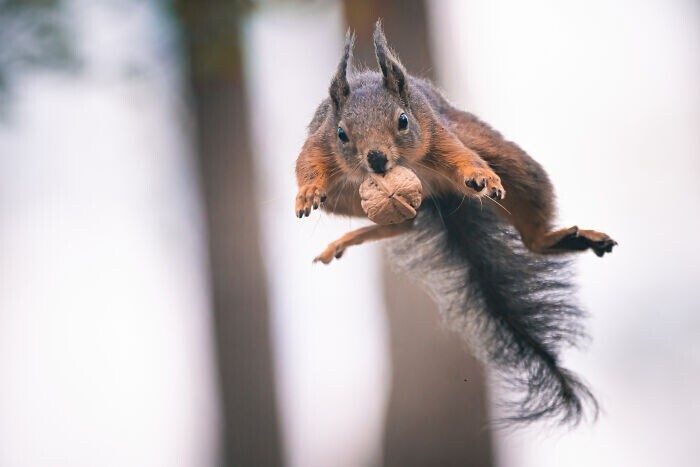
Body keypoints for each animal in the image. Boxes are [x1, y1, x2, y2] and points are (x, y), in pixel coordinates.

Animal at [292, 20, 616, 426]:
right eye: (341, 134)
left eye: (403, 121)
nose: (377, 159)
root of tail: (436, 197)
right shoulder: (319, 144)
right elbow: (308, 165)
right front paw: (307, 192)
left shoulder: (436, 131)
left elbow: (461, 157)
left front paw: (481, 177)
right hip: (345, 199)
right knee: (402, 224)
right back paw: (353, 236)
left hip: (501, 154)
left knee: (525, 227)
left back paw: (553, 238)